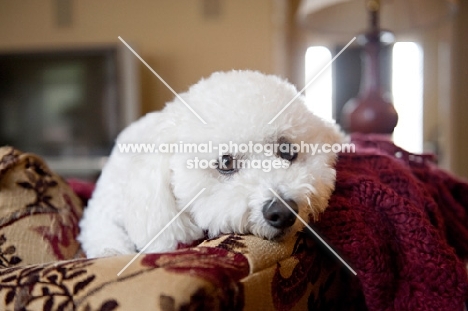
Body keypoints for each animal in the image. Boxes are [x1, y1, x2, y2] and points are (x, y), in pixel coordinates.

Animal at [77, 70, 344, 258]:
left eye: (287, 150)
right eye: (226, 162)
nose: (282, 212)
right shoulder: (103, 210)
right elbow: (103, 234)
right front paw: (112, 251)